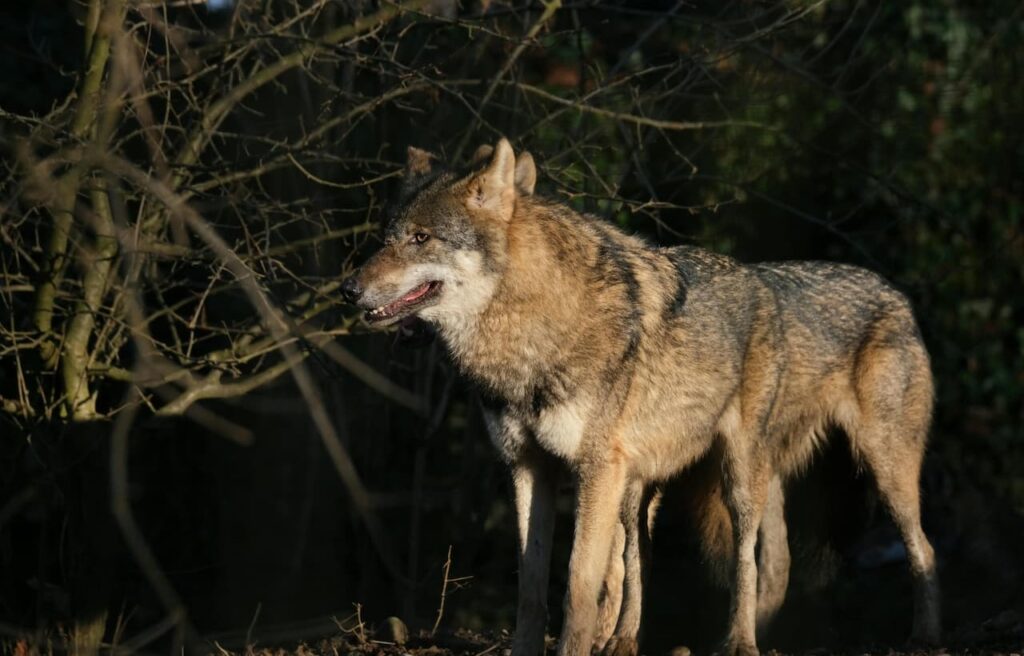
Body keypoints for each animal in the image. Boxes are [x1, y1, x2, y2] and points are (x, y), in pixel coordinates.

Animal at [341, 139, 940, 656]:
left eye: (421, 238)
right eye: (386, 235)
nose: (348, 290)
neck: (529, 335)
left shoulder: (593, 470)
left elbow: (578, 588)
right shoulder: (530, 467)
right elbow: (533, 588)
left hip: (800, 473)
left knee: (903, 550)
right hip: (643, 487)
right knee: (656, 561)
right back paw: (637, 641)